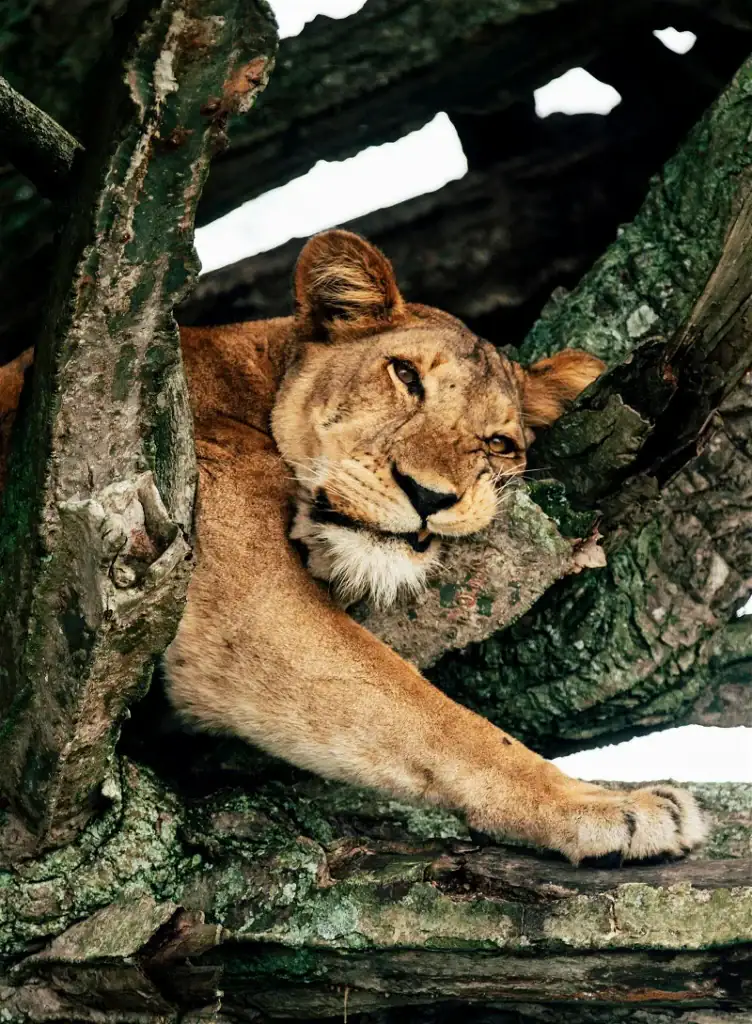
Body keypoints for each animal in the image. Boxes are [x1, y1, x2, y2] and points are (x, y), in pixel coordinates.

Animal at [0, 230, 705, 864]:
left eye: (500, 443)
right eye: (405, 376)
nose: (427, 494)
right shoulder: (252, 609)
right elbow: (438, 722)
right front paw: (614, 807)